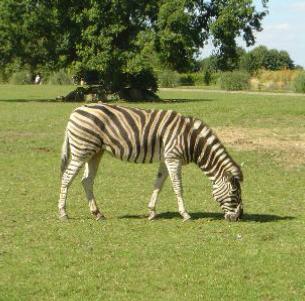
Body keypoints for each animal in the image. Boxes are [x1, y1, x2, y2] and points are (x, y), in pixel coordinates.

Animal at [57, 102, 242, 221]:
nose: (239, 217)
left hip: (95, 152)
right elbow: (178, 186)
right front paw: (185, 214)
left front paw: (152, 212)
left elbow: (158, 184)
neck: (191, 140)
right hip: (82, 150)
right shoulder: (173, 158)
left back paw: (97, 214)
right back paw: (63, 213)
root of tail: (77, 110)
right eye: (235, 193)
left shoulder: (166, 159)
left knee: (87, 181)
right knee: (66, 177)